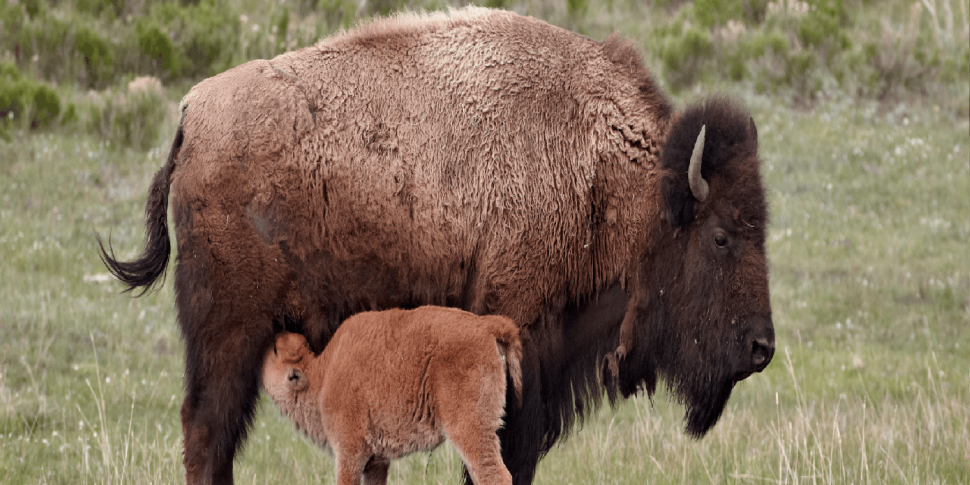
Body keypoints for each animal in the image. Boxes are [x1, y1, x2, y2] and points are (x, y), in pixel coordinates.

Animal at [260, 306, 520, 484]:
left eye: (275, 350)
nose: (275, 335)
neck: (321, 376)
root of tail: (485, 325)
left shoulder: (349, 453)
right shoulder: (376, 462)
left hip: (470, 429)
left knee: (495, 475)